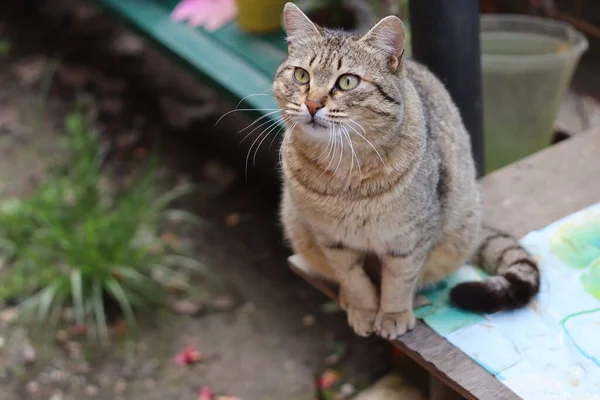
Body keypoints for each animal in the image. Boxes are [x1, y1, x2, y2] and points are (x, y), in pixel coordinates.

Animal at [274, 3, 540, 340]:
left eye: (347, 81)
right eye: (301, 75)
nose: (312, 104)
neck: (346, 167)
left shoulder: (411, 237)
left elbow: (399, 280)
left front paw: (393, 314)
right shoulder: (331, 239)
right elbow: (354, 278)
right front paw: (363, 308)